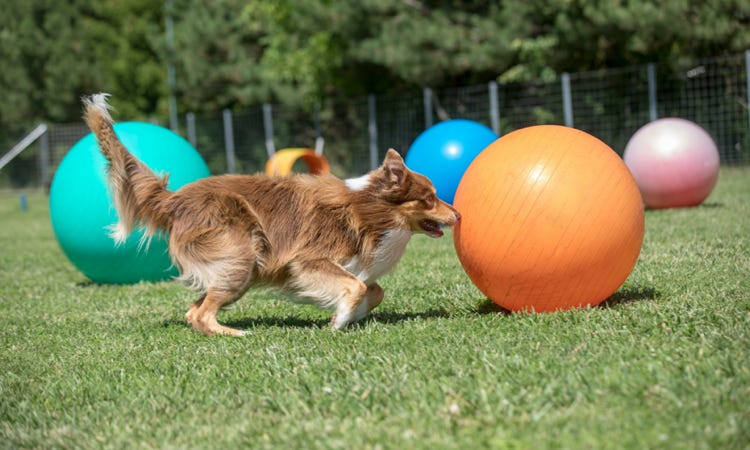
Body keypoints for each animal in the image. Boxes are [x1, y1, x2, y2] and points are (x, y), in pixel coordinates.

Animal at [81, 94, 458, 334]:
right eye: (430, 198)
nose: (459, 215)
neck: (370, 210)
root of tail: (175, 199)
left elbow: (373, 291)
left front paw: (347, 316)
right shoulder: (308, 259)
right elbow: (356, 287)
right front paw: (339, 321)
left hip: (235, 265)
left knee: (193, 311)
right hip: (241, 255)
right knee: (201, 315)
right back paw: (236, 335)